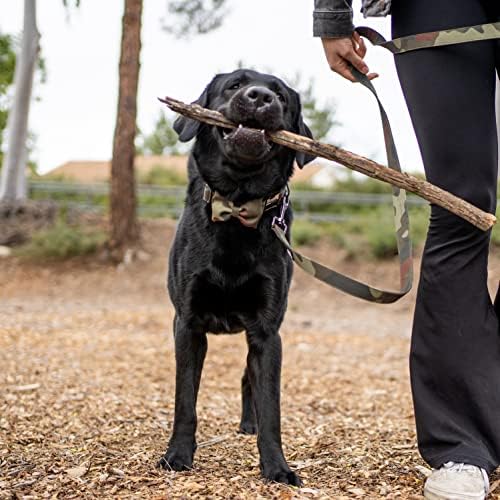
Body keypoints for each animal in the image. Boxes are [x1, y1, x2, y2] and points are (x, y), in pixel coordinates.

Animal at [160, 69, 314, 484]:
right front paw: (177, 455)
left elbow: (271, 407)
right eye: (234, 85)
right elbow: (185, 401)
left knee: (249, 380)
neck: (238, 206)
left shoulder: (266, 332)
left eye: (281, 96)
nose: (260, 97)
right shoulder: (187, 325)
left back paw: (250, 424)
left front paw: (277, 467)